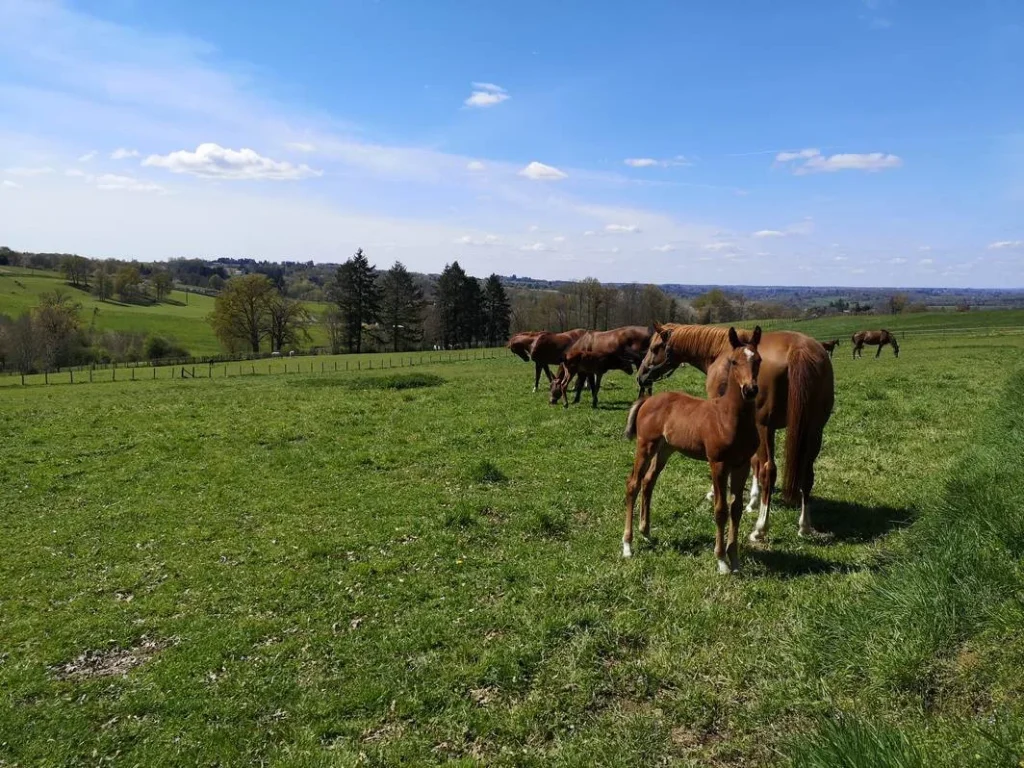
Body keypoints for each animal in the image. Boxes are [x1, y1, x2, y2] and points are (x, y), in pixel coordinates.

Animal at [622, 325, 761, 573]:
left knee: (648, 481)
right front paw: (721, 560)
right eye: (734, 361)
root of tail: (647, 400)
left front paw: (735, 559)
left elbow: (736, 509)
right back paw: (627, 545)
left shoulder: (742, 464)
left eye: (759, 360)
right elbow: (721, 509)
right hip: (645, 445)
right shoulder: (718, 463)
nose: (750, 390)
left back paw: (645, 532)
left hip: (665, 449)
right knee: (633, 484)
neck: (728, 417)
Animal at [638, 325, 831, 540]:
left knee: (769, 470)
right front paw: (752, 500)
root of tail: (799, 350)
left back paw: (760, 528)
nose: (641, 376)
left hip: (767, 428)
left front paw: (716, 493)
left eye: (654, 348)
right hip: (814, 429)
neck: (721, 351)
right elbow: (753, 461)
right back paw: (804, 525)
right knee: (807, 474)